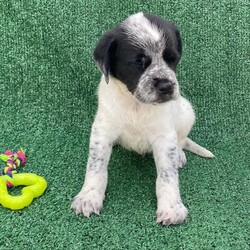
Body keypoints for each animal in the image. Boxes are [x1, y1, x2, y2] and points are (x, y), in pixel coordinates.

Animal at [71, 12, 214, 227]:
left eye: (172, 59)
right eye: (138, 62)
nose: (166, 86)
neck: (135, 104)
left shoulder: (164, 137)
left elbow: (167, 175)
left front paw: (171, 207)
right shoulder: (102, 130)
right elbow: (96, 167)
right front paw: (89, 197)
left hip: (187, 112)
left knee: (181, 140)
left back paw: (180, 155)